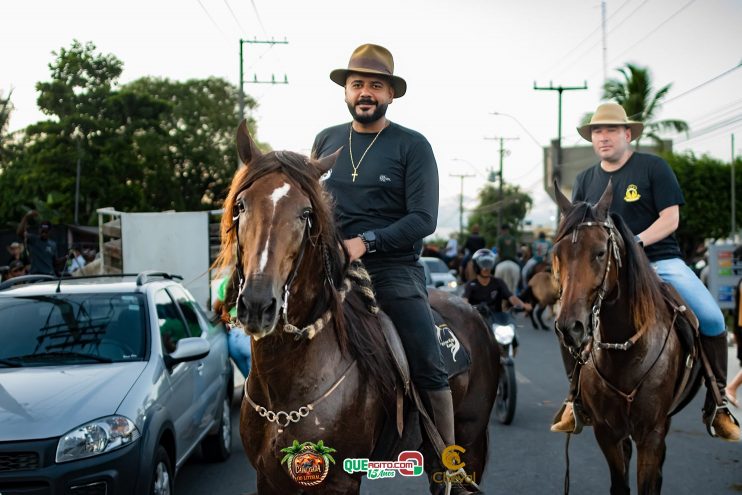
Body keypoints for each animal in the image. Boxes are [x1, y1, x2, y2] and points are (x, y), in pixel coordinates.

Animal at [218, 121, 502, 495]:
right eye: (240, 205)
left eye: (306, 213)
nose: (257, 304)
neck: (285, 384)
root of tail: (475, 315)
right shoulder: (269, 478)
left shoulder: (339, 481)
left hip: (468, 446)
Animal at [552, 182, 704, 495]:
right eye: (558, 253)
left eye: (600, 252)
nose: (570, 327)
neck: (625, 353)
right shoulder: (607, 431)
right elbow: (619, 484)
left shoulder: (651, 432)